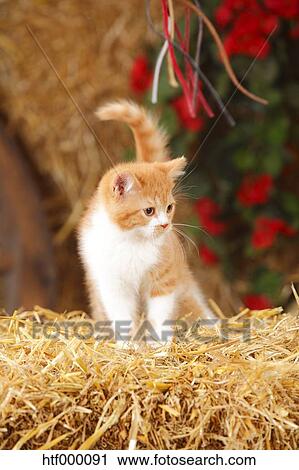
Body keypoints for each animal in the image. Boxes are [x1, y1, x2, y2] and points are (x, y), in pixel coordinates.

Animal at [78, 100, 214, 342]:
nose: (165, 225)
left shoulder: (165, 278)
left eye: (169, 208)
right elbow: (121, 314)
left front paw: (159, 344)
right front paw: (128, 345)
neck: (132, 241)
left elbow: (160, 311)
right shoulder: (112, 284)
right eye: (149, 211)